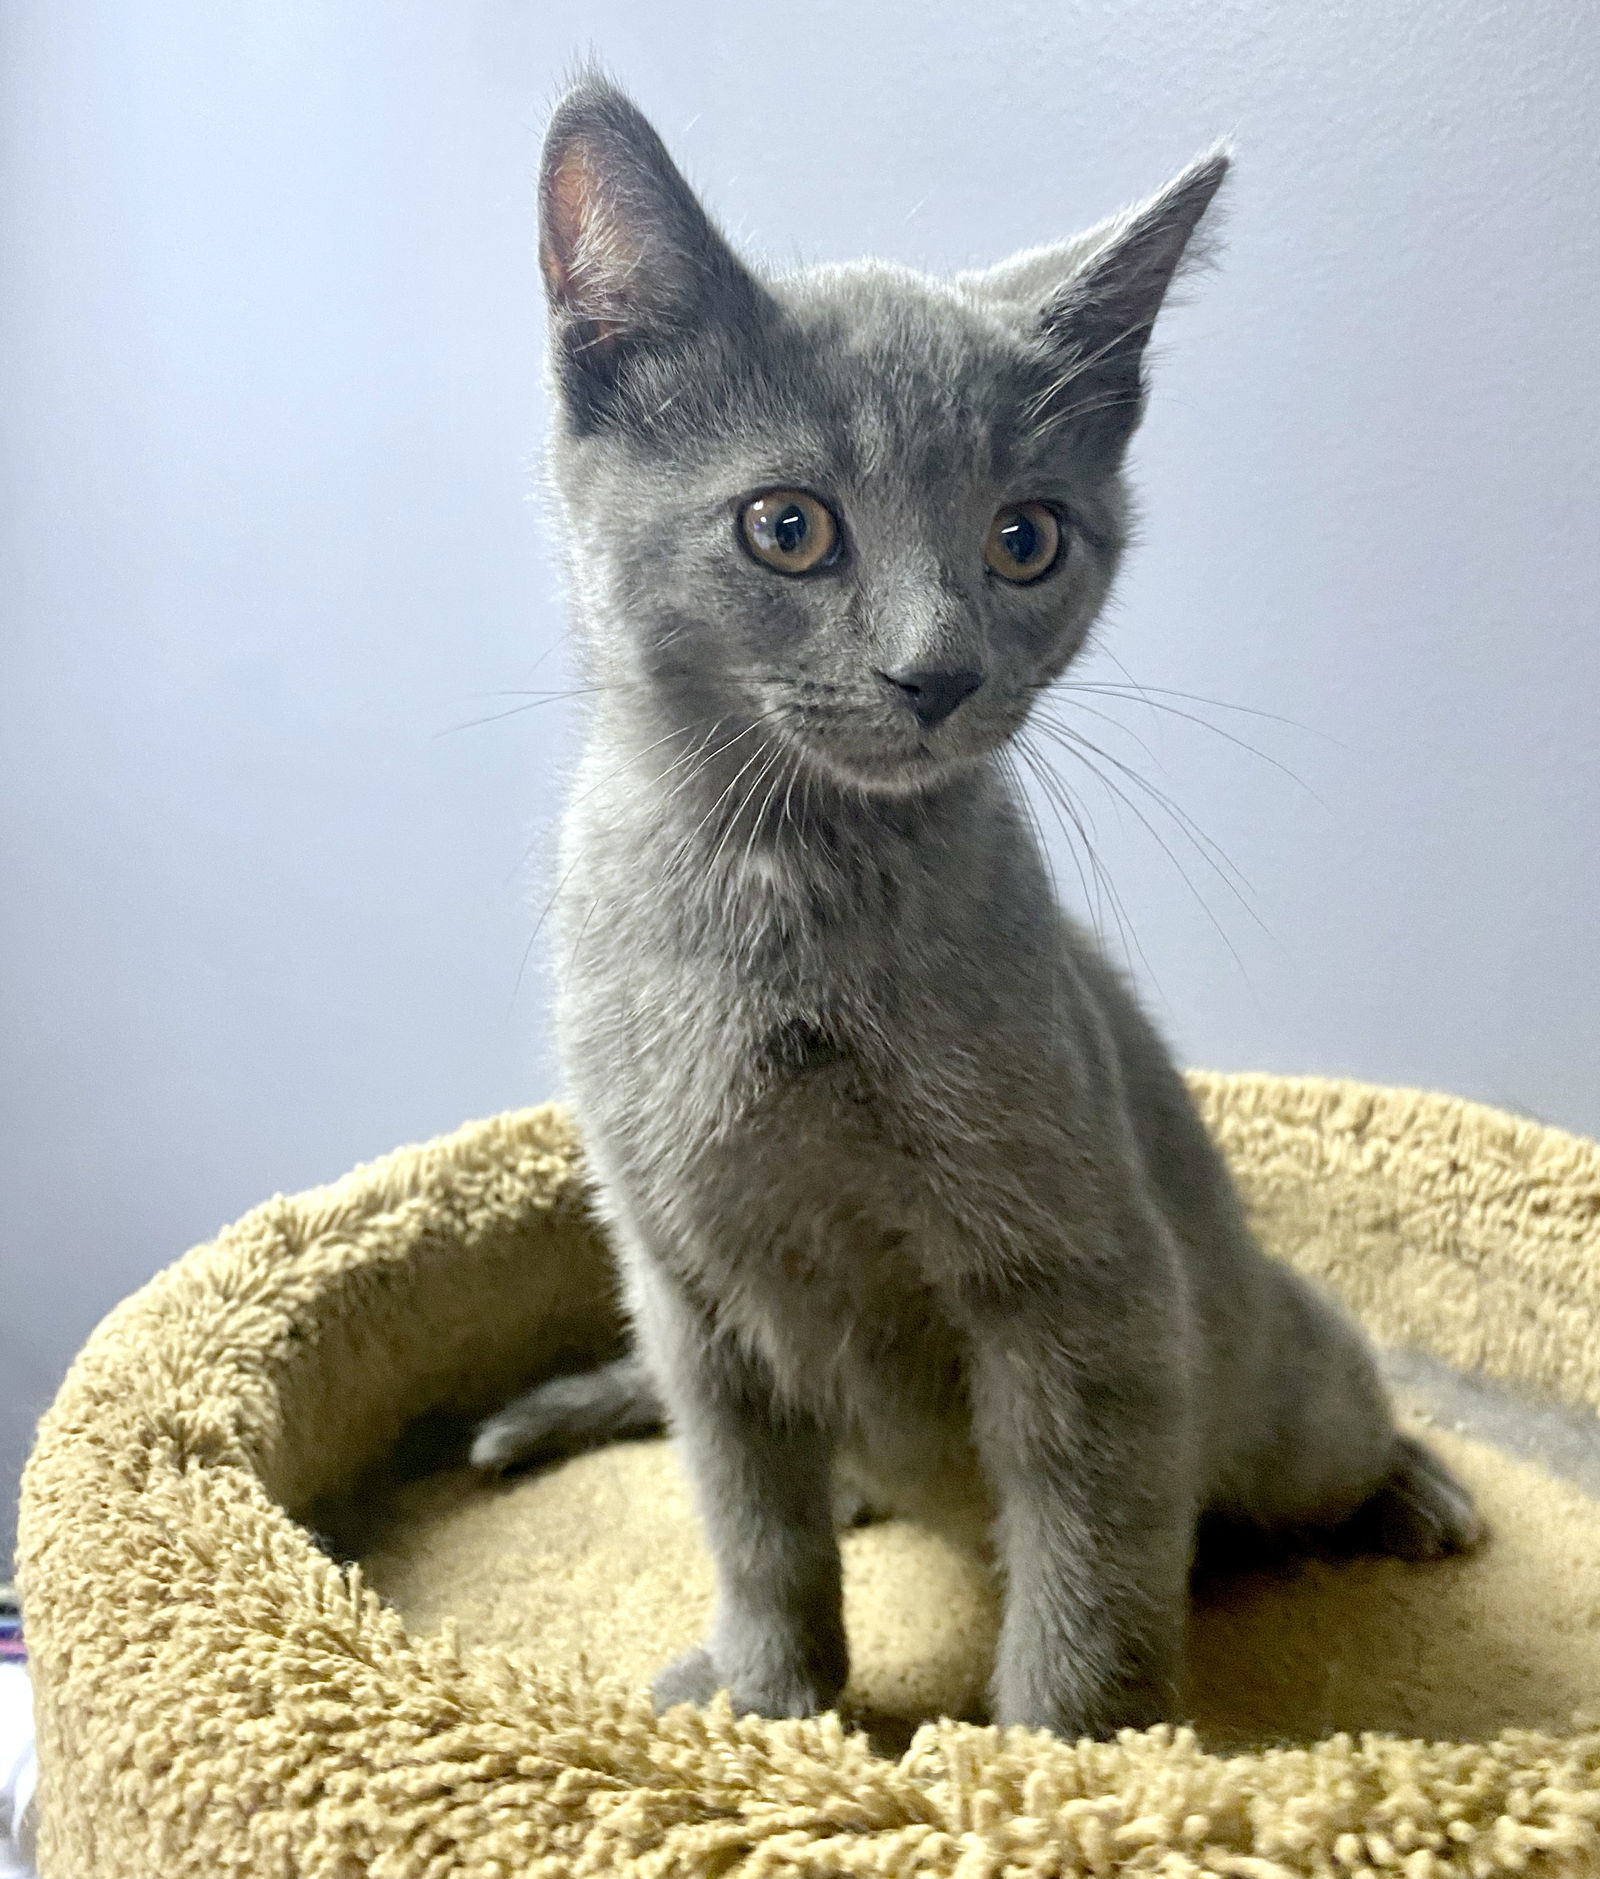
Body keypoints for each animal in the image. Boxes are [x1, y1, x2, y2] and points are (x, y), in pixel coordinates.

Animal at [469, 80, 1479, 1736]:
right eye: (789, 527)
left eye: (1026, 537)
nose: (936, 672)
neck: (788, 900)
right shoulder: (684, 1285)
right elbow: (752, 1514)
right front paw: (772, 1700)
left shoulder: (1085, 1285)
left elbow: (1089, 1546)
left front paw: (1060, 1751)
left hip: (1280, 1389)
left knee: (1334, 1425)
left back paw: (1417, 1490)